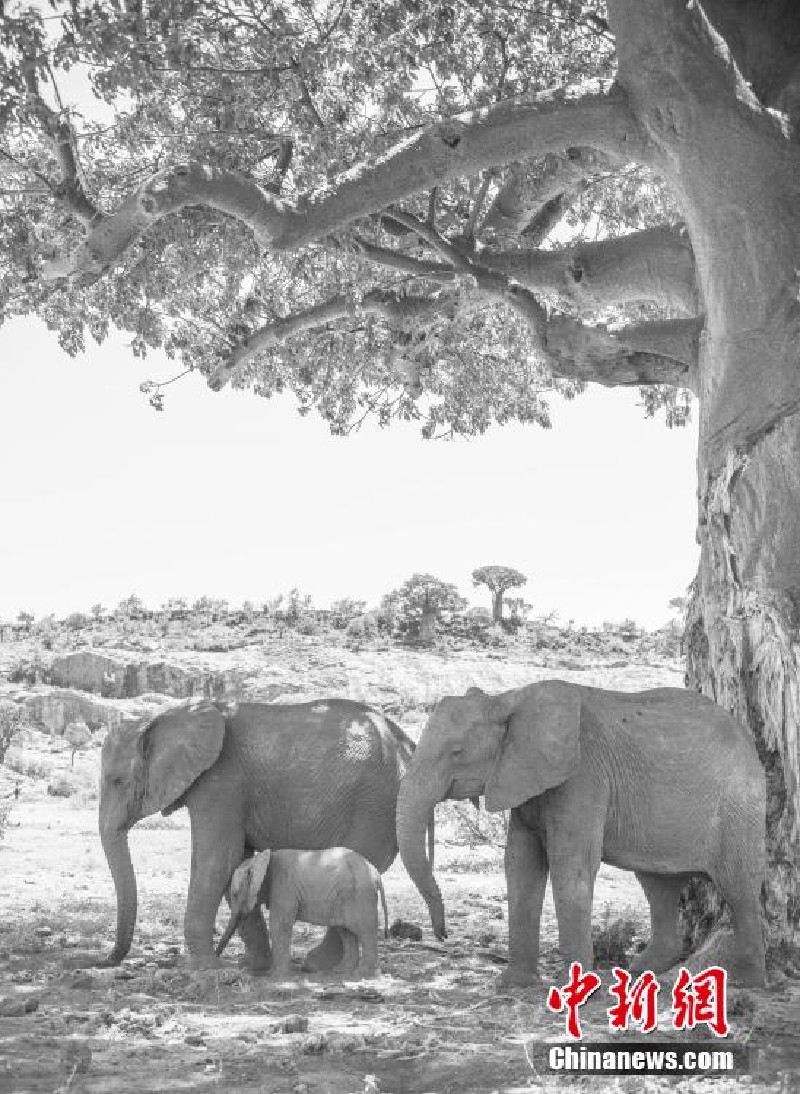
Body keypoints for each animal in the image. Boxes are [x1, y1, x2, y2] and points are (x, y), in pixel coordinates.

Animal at [215, 848, 391, 980]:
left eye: (234, 894)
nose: (217, 956)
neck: (261, 859)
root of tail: (376, 873)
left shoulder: (283, 887)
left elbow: (279, 925)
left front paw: (275, 977)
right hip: (343, 898)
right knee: (346, 931)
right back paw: (341, 972)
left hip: (360, 895)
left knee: (365, 931)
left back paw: (365, 975)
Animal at [398, 678, 766, 988]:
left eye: (456, 752)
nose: (442, 935)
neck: (508, 699)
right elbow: (520, 865)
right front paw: (512, 984)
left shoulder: (582, 776)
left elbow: (569, 866)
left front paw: (571, 989)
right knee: (657, 885)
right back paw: (639, 974)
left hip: (739, 807)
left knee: (739, 887)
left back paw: (747, 982)